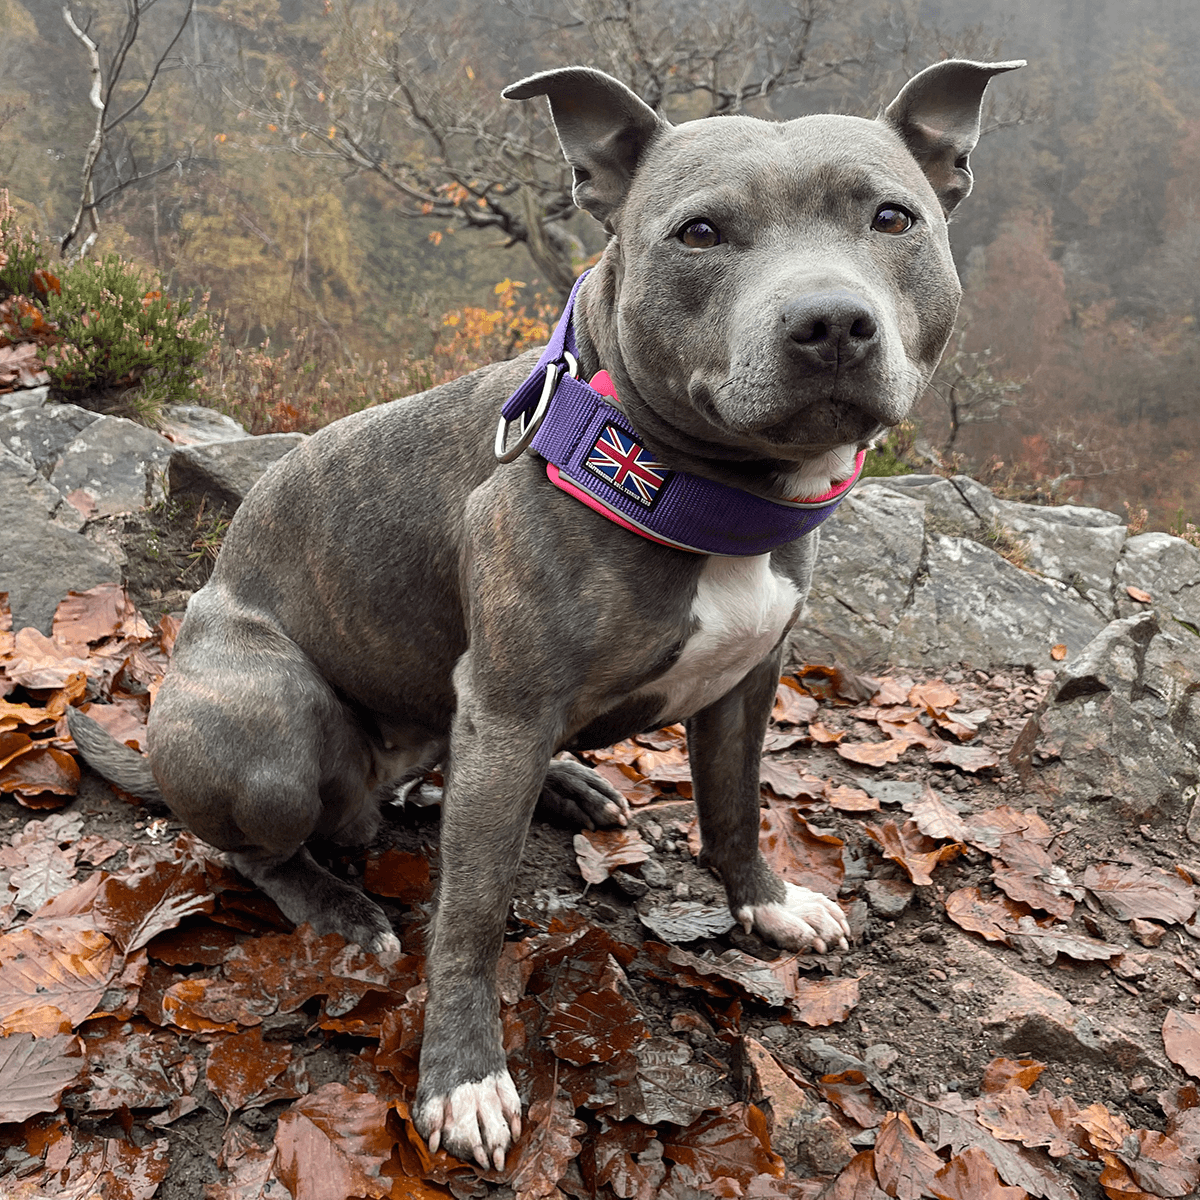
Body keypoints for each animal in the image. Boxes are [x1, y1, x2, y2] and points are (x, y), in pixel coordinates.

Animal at [68, 58, 1022, 1171]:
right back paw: (340, 907)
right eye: (700, 232)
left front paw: (767, 904)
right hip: (267, 738)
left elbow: (734, 807)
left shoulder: (746, 684)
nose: (830, 321)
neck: (681, 481)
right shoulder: (510, 708)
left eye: (892, 217)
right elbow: (474, 912)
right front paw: (462, 1077)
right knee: (250, 844)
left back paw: (570, 788)